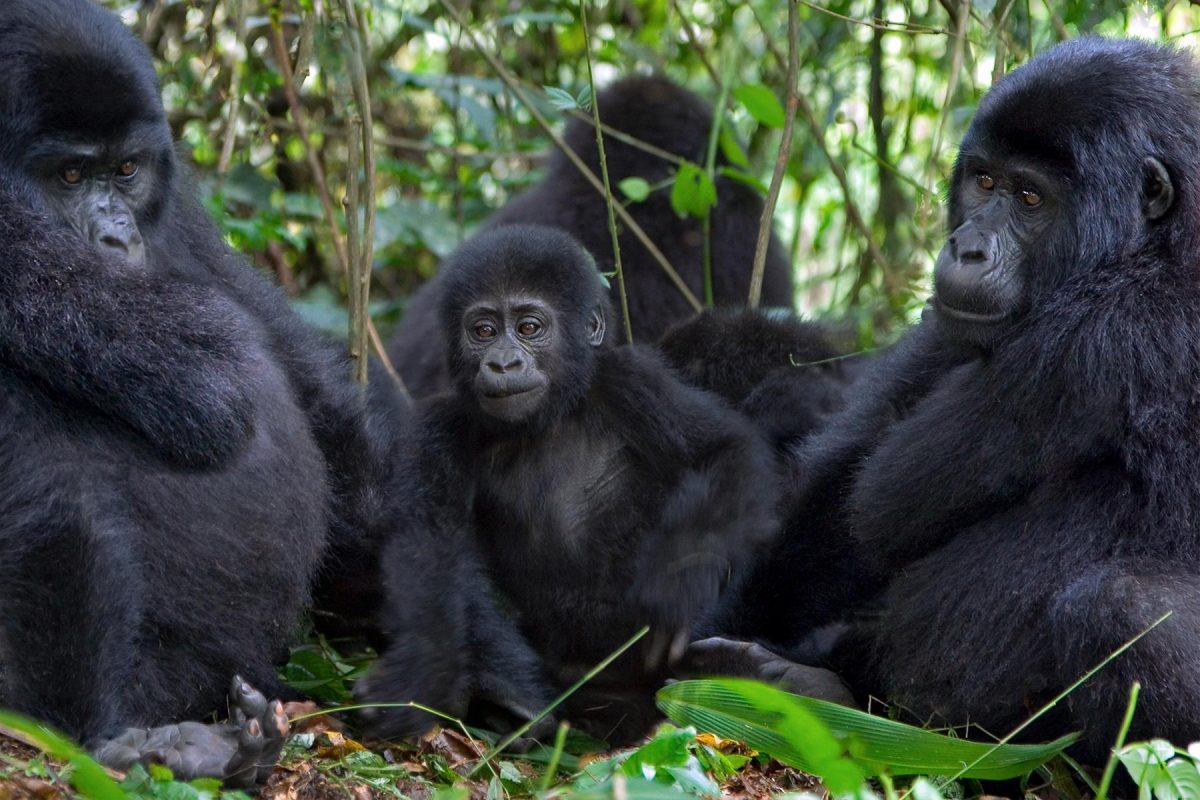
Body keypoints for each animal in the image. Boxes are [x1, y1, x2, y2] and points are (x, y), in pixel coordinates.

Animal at [0, 0, 386, 786]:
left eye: (125, 170)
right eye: (68, 175)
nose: (116, 239)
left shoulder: (177, 210)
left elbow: (296, 370)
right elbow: (211, 375)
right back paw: (101, 739)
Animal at [362, 224, 777, 743]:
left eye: (528, 328)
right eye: (483, 331)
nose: (502, 364)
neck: (549, 418)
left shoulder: (632, 379)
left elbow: (724, 450)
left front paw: (681, 579)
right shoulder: (438, 427)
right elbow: (429, 545)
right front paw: (422, 675)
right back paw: (511, 699)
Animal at [700, 37, 1200, 762]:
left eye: (1030, 197)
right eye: (984, 182)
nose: (966, 248)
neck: (1160, 240)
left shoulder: (1109, 332)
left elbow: (884, 501)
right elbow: (841, 484)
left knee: (1121, 611)